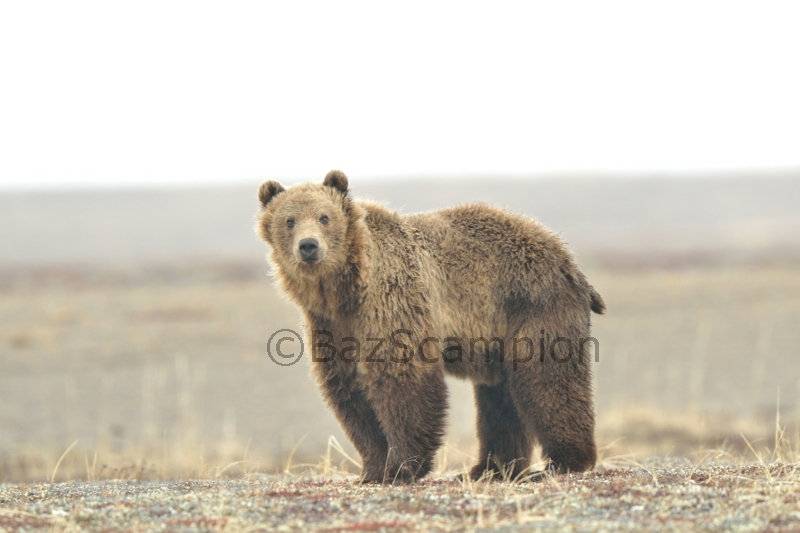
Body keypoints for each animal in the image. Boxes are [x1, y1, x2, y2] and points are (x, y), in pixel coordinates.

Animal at [256, 170, 605, 484]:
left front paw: (401, 467)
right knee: (499, 398)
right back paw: (489, 469)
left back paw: (562, 462)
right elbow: (348, 388)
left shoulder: (392, 300)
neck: (346, 289)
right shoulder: (331, 324)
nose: (308, 246)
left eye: (324, 217)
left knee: (548, 378)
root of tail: (567, 259)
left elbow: (402, 377)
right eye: (289, 221)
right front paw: (372, 469)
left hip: (531, 303)